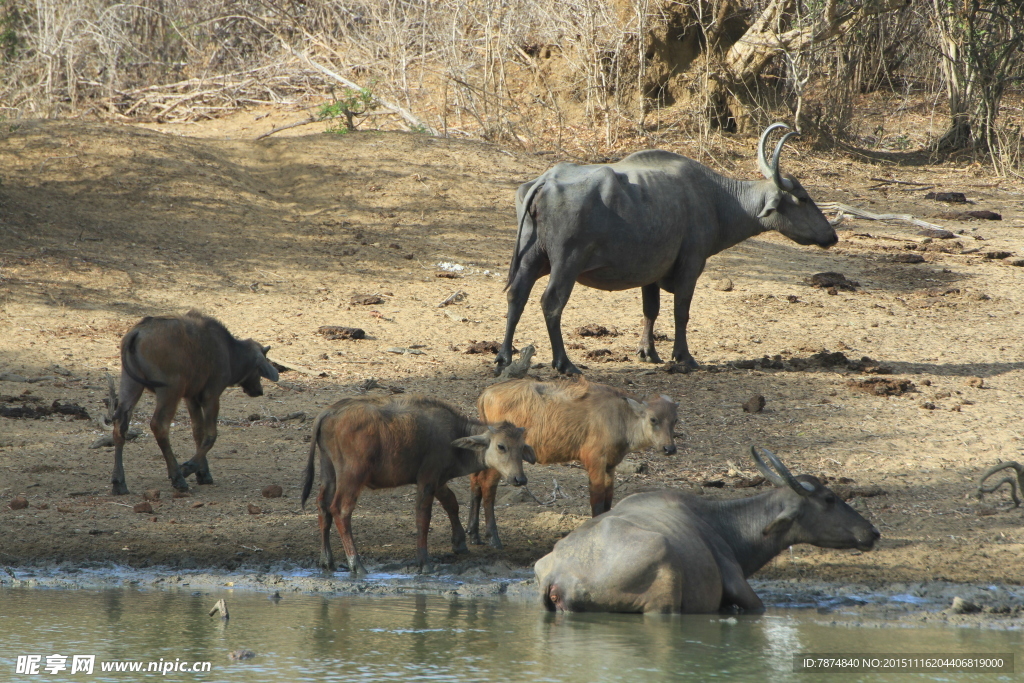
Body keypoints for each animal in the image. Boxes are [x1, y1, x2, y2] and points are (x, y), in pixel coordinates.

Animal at [110, 311, 278, 497]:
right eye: (258, 369)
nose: (259, 390)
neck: (230, 352)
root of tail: (137, 332)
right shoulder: (211, 395)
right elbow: (211, 434)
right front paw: (188, 468)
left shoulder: (191, 398)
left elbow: (198, 432)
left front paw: (203, 473)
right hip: (170, 391)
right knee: (159, 425)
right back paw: (177, 477)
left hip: (130, 384)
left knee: (120, 426)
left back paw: (119, 482)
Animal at [299, 395, 536, 577]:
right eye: (501, 446)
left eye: (521, 447)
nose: (520, 479)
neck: (453, 436)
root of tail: (330, 411)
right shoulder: (428, 480)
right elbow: (423, 518)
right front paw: (425, 562)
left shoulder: (438, 481)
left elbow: (451, 503)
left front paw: (459, 543)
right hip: (352, 477)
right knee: (340, 510)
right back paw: (356, 564)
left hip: (328, 472)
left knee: (322, 506)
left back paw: (327, 560)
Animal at [495, 122, 839, 374]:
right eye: (803, 198)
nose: (832, 236)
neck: (716, 198)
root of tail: (545, 181)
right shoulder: (691, 265)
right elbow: (681, 312)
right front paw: (683, 356)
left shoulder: (650, 273)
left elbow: (651, 310)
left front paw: (648, 352)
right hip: (566, 263)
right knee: (551, 303)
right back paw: (564, 363)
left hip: (531, 259)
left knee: (516, 296)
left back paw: (503, 357)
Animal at [536, 448, 880, 614]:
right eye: (829, 498)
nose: (872, 532)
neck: (724, 526)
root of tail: (558, 577)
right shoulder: (740, 588)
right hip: (662, 602)